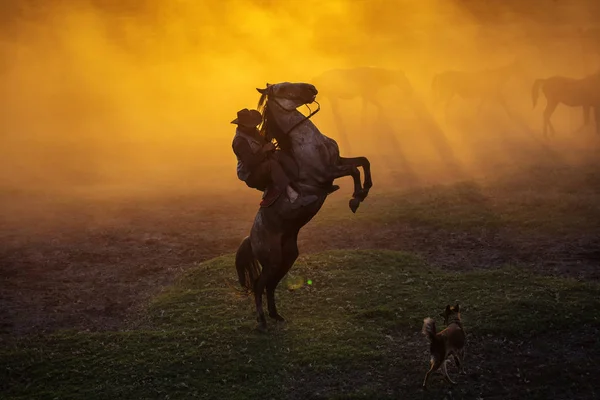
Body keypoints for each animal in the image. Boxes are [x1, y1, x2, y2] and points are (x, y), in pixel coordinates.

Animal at [233, 81, 370, 332]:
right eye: (281, 88)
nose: (311, 88)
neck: (305, 142)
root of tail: (251, 237)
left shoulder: (337, 162)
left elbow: (363, 162)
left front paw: (363, 192)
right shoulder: (327, 173)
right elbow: (354, 170)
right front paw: (356, 198)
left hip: (287, 258)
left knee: (270, 285)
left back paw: (276, 315)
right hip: (272, 260)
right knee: (259, 285)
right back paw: (262, 320)